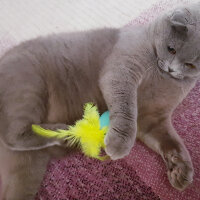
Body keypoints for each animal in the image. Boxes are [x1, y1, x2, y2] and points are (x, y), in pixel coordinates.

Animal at [0, 2, 200, 199]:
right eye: (171, 49)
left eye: (190, 65)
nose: (172, 69)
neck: (162, 78)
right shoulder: (121, 70)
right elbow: (126, 108)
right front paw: (118, 143)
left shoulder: (153, 118)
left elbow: (171, 141)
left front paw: (181, 169)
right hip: (28, 87)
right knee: (13, 135)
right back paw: (64, 133)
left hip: (28, 169)